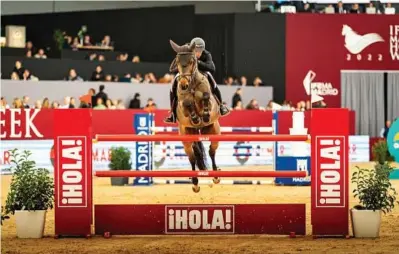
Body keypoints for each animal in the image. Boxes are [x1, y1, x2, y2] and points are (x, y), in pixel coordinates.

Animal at [170, 39, 223, 192]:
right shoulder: (182, 107)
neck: (192, 85)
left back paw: (215, 176)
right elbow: (187, 103)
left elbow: (205, 97)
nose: (183, 85)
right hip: (187, 136)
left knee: (211, 152)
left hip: (214, 131)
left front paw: (203, 116)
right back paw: (195, 182)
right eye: (177, 61)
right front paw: (195, 117)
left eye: (192, 61)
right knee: (193, 157)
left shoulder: (210, 103)